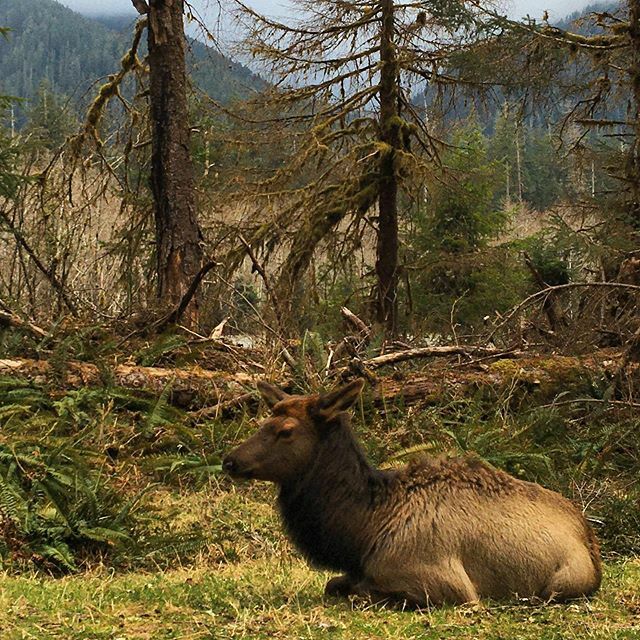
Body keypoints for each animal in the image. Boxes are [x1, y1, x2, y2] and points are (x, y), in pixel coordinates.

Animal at [223, 379, 602, 607]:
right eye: (262, 423)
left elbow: (360, 593)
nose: (230, 461)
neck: (362, 532)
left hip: (560, 584)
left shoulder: (446, 584)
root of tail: (590, 539)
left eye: (285, 430)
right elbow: (334, 585)